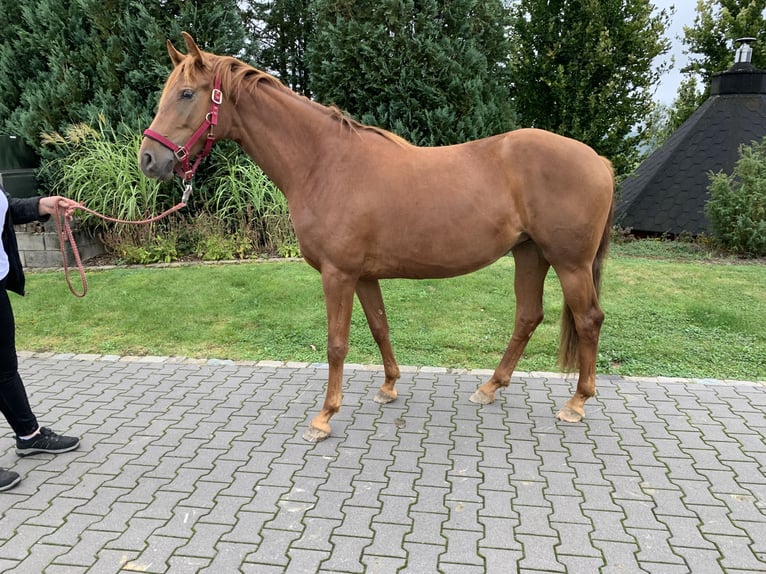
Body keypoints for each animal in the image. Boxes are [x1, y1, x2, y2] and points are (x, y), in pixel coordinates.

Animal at [140, 33, 616, 444]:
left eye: (187, 94)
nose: (148, 159)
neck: (324, 163)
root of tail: (598, 160)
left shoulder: (337, 274)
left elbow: (336, 344)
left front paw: (324, 417)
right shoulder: (363, 275)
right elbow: (380, 326)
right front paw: (389, 386)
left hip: (569, 263)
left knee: (589, 320)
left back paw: (576, 403)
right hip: (530, 254)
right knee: (527, 317)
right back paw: (490, 387)